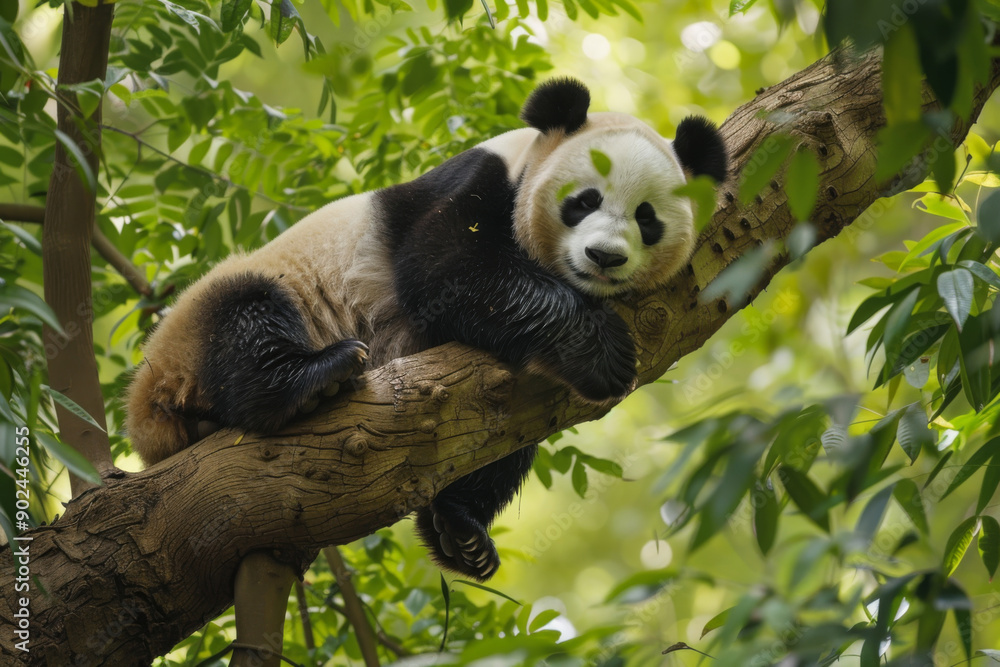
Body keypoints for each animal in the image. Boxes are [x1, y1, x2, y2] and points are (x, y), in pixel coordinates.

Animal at [126, 78, 727, 581]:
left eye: (647, 218)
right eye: (584, 201)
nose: (604, 257)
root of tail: (149, 415)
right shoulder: (472, 186)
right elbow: (444, 269)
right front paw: (601, 352)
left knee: (504, 442)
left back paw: (463, 535)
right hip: (213, 313)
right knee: (245, 317)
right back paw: (315, 377)